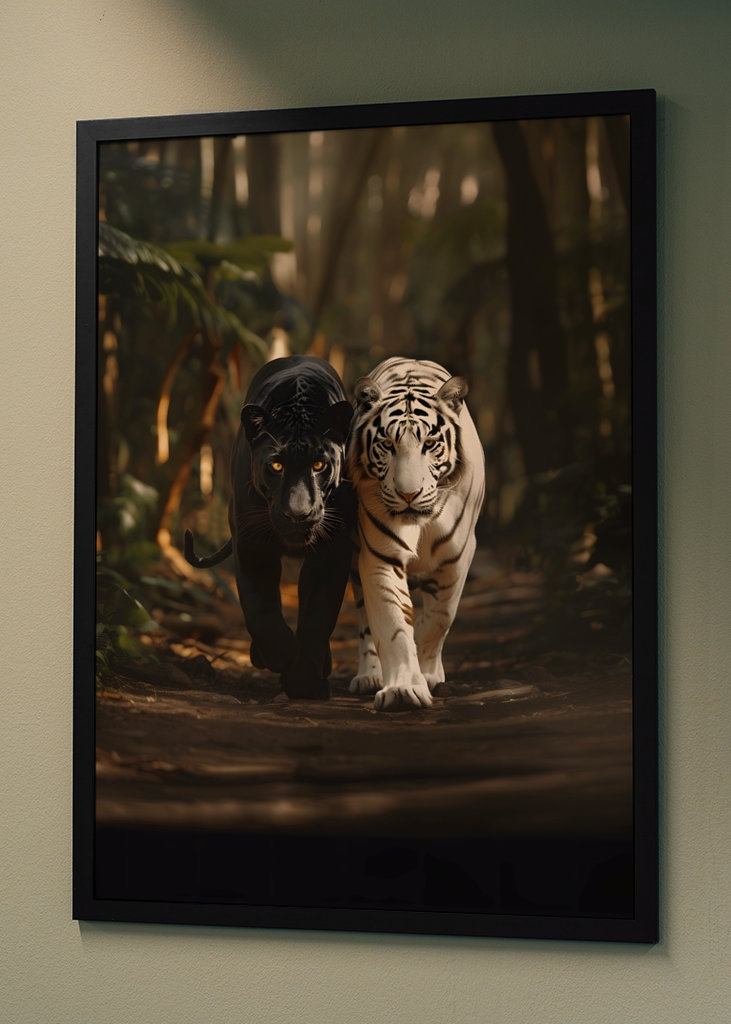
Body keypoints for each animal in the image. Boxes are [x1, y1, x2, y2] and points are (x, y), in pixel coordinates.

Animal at [347, 356, 485, 710]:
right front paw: (403, 688)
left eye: (430, 444)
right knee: (365, 624)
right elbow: (394, 624)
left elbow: (440, 618)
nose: (408, 494)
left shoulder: (458, 558)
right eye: (387, 445)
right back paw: (369, 676)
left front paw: (427, 672)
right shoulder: (380, 556)